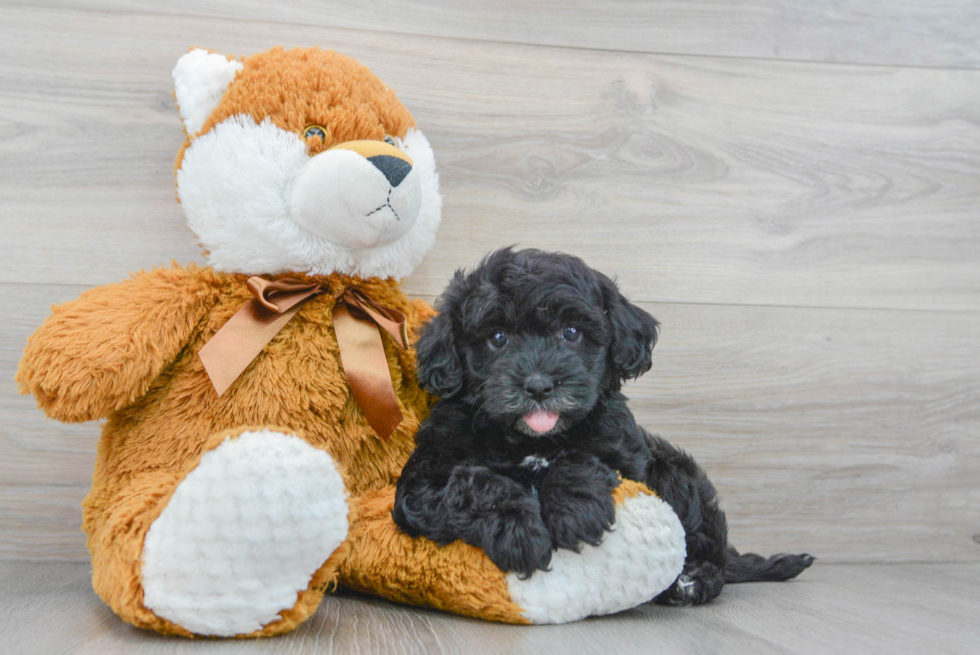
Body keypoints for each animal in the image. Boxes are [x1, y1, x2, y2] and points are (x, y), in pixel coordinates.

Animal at [390, 247, 812, 604]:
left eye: (571, 333)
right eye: (497, 338)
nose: (538, 385)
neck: (532, 441)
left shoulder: (627, 458)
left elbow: (581, 460)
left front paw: (575, 509)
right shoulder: (422, 482)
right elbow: (474, 483)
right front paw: (517, 530)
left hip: (674, 473)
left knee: (710, 554)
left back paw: (690, 581)